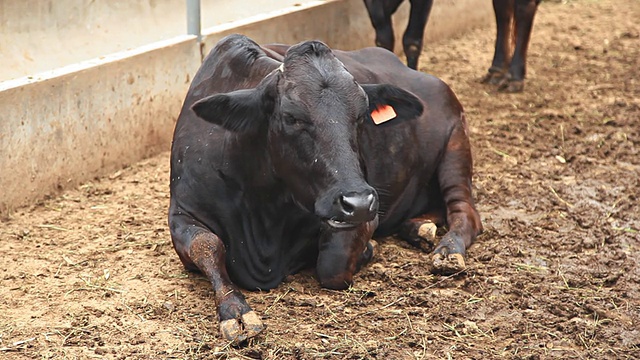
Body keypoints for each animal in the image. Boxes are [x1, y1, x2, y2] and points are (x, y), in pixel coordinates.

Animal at [168, 34, 482, 344]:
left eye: (361, 115)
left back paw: (448, 250)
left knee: (465, 212)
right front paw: (236, 311)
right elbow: (207, 245)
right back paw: (418, 227)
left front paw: (368, 249)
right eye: (292, 117)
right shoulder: (181, 213)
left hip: (456, 145)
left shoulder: (364, 215)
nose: (358, 202)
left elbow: (333, 266)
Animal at [364, 0, 540, 92]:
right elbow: (383, 40)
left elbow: (412, 40)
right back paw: (496, 71)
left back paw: (515, 77)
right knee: (503, 10)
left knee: (524, 9)